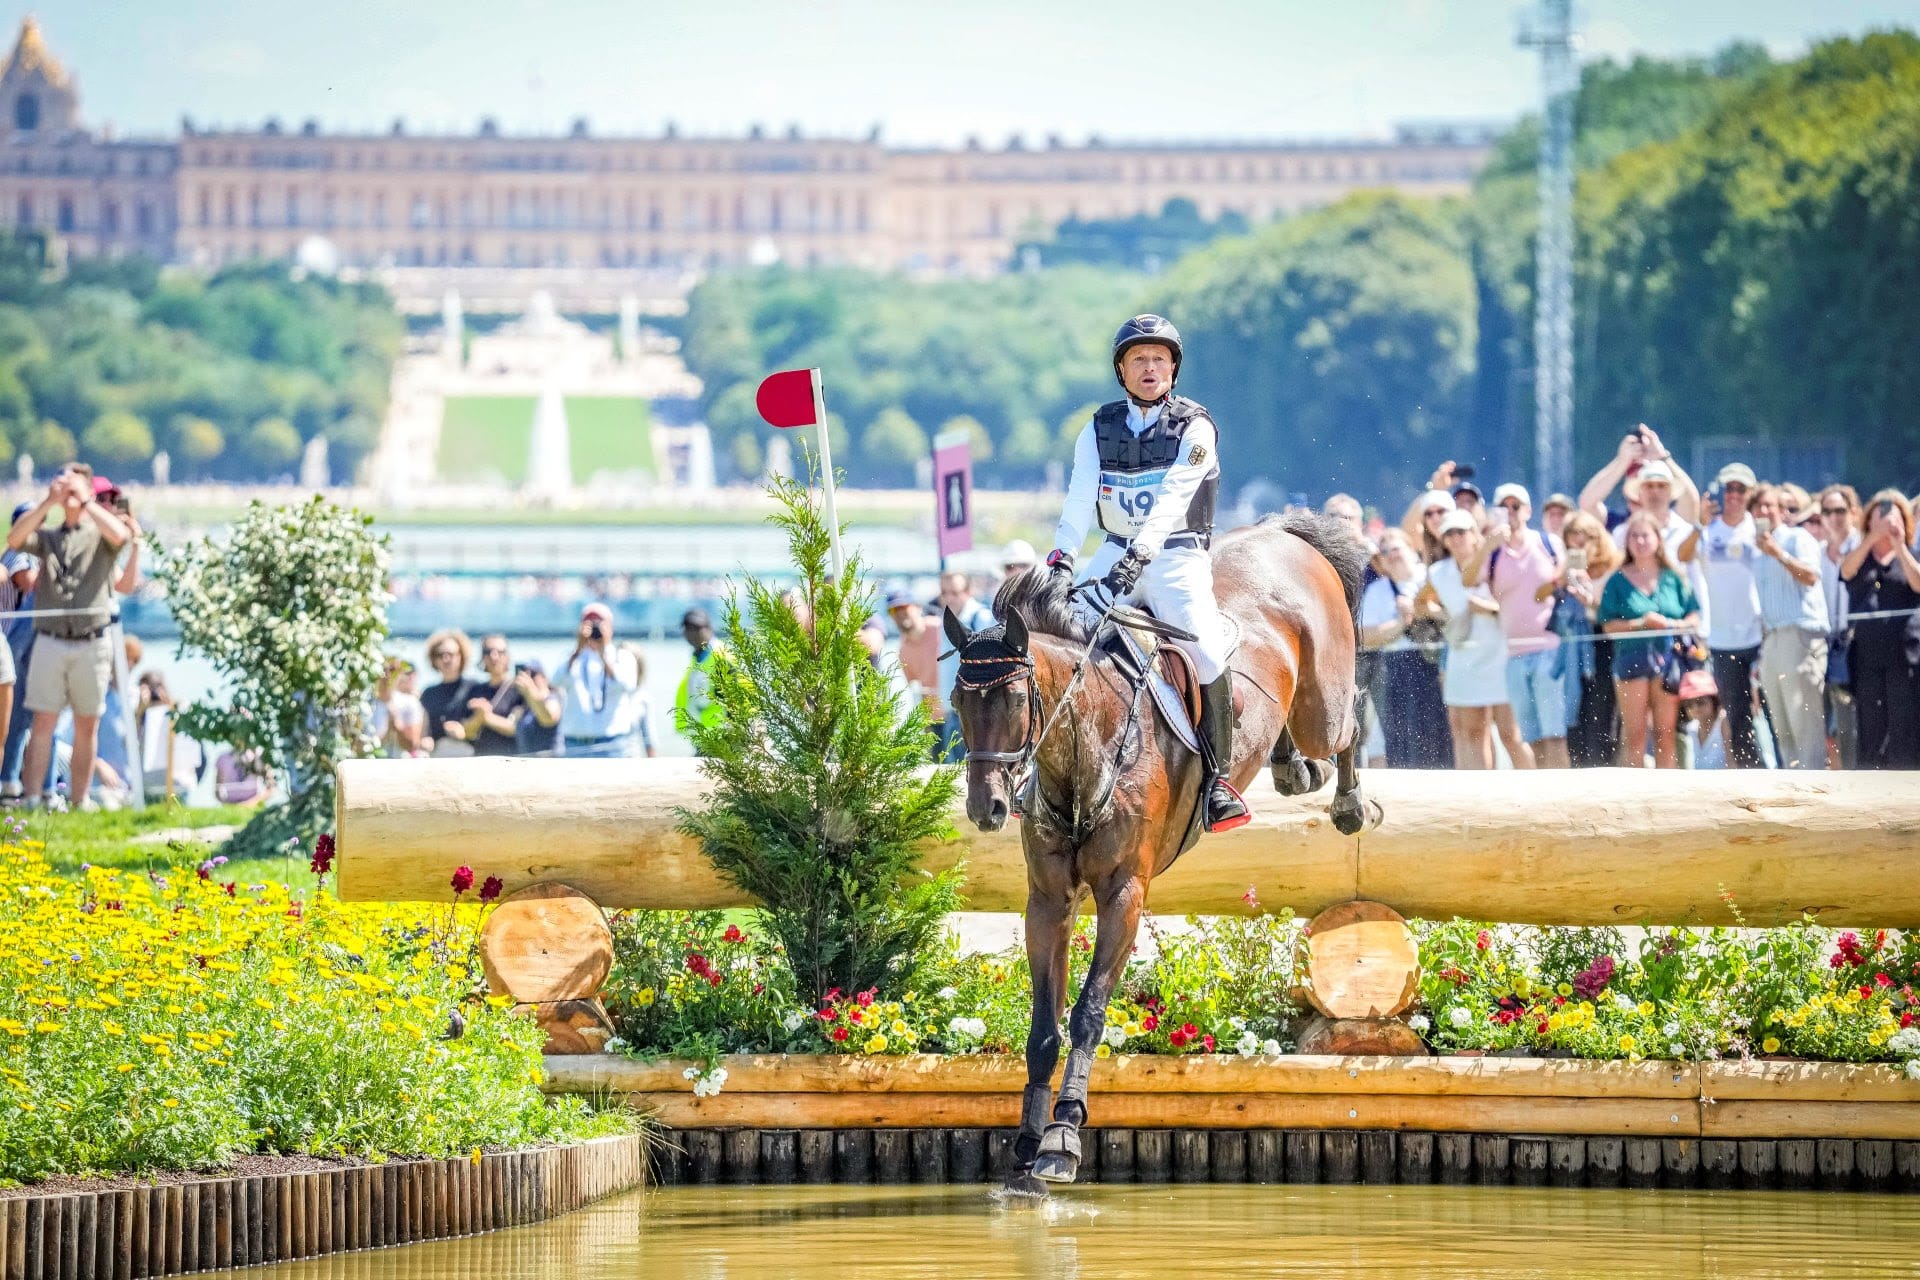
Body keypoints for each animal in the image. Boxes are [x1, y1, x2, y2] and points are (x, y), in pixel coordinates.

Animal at [940, 510, 1367, 1189]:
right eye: (958, 699)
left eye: (1014, 699)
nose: (988, 809)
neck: (1081, 750)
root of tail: (1284, 533)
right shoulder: (1048, 901)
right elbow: (1043, 1026)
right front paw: (1026, 1145)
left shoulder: (1124, 893)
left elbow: (1088, 1012)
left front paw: (1063, 1140)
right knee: (1303, 752)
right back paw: (1292, 769)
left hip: (1320, 702)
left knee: (1345, 717)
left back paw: (1348, 801)